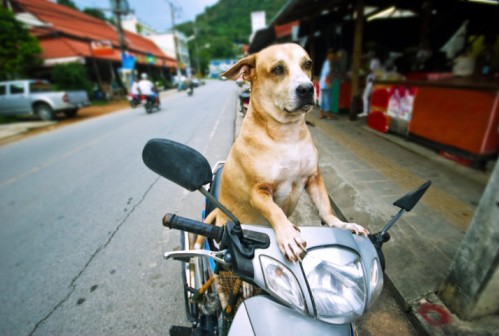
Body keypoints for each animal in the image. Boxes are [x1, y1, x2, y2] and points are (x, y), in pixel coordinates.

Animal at [201, 43, 370, 262]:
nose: (307, 88)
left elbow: (325, 209)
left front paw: (342, 224)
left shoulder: (314, 178)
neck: (286, 135)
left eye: (308, 64)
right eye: (278, 69)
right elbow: (275, 212)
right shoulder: (259, 192)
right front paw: (289, 235)